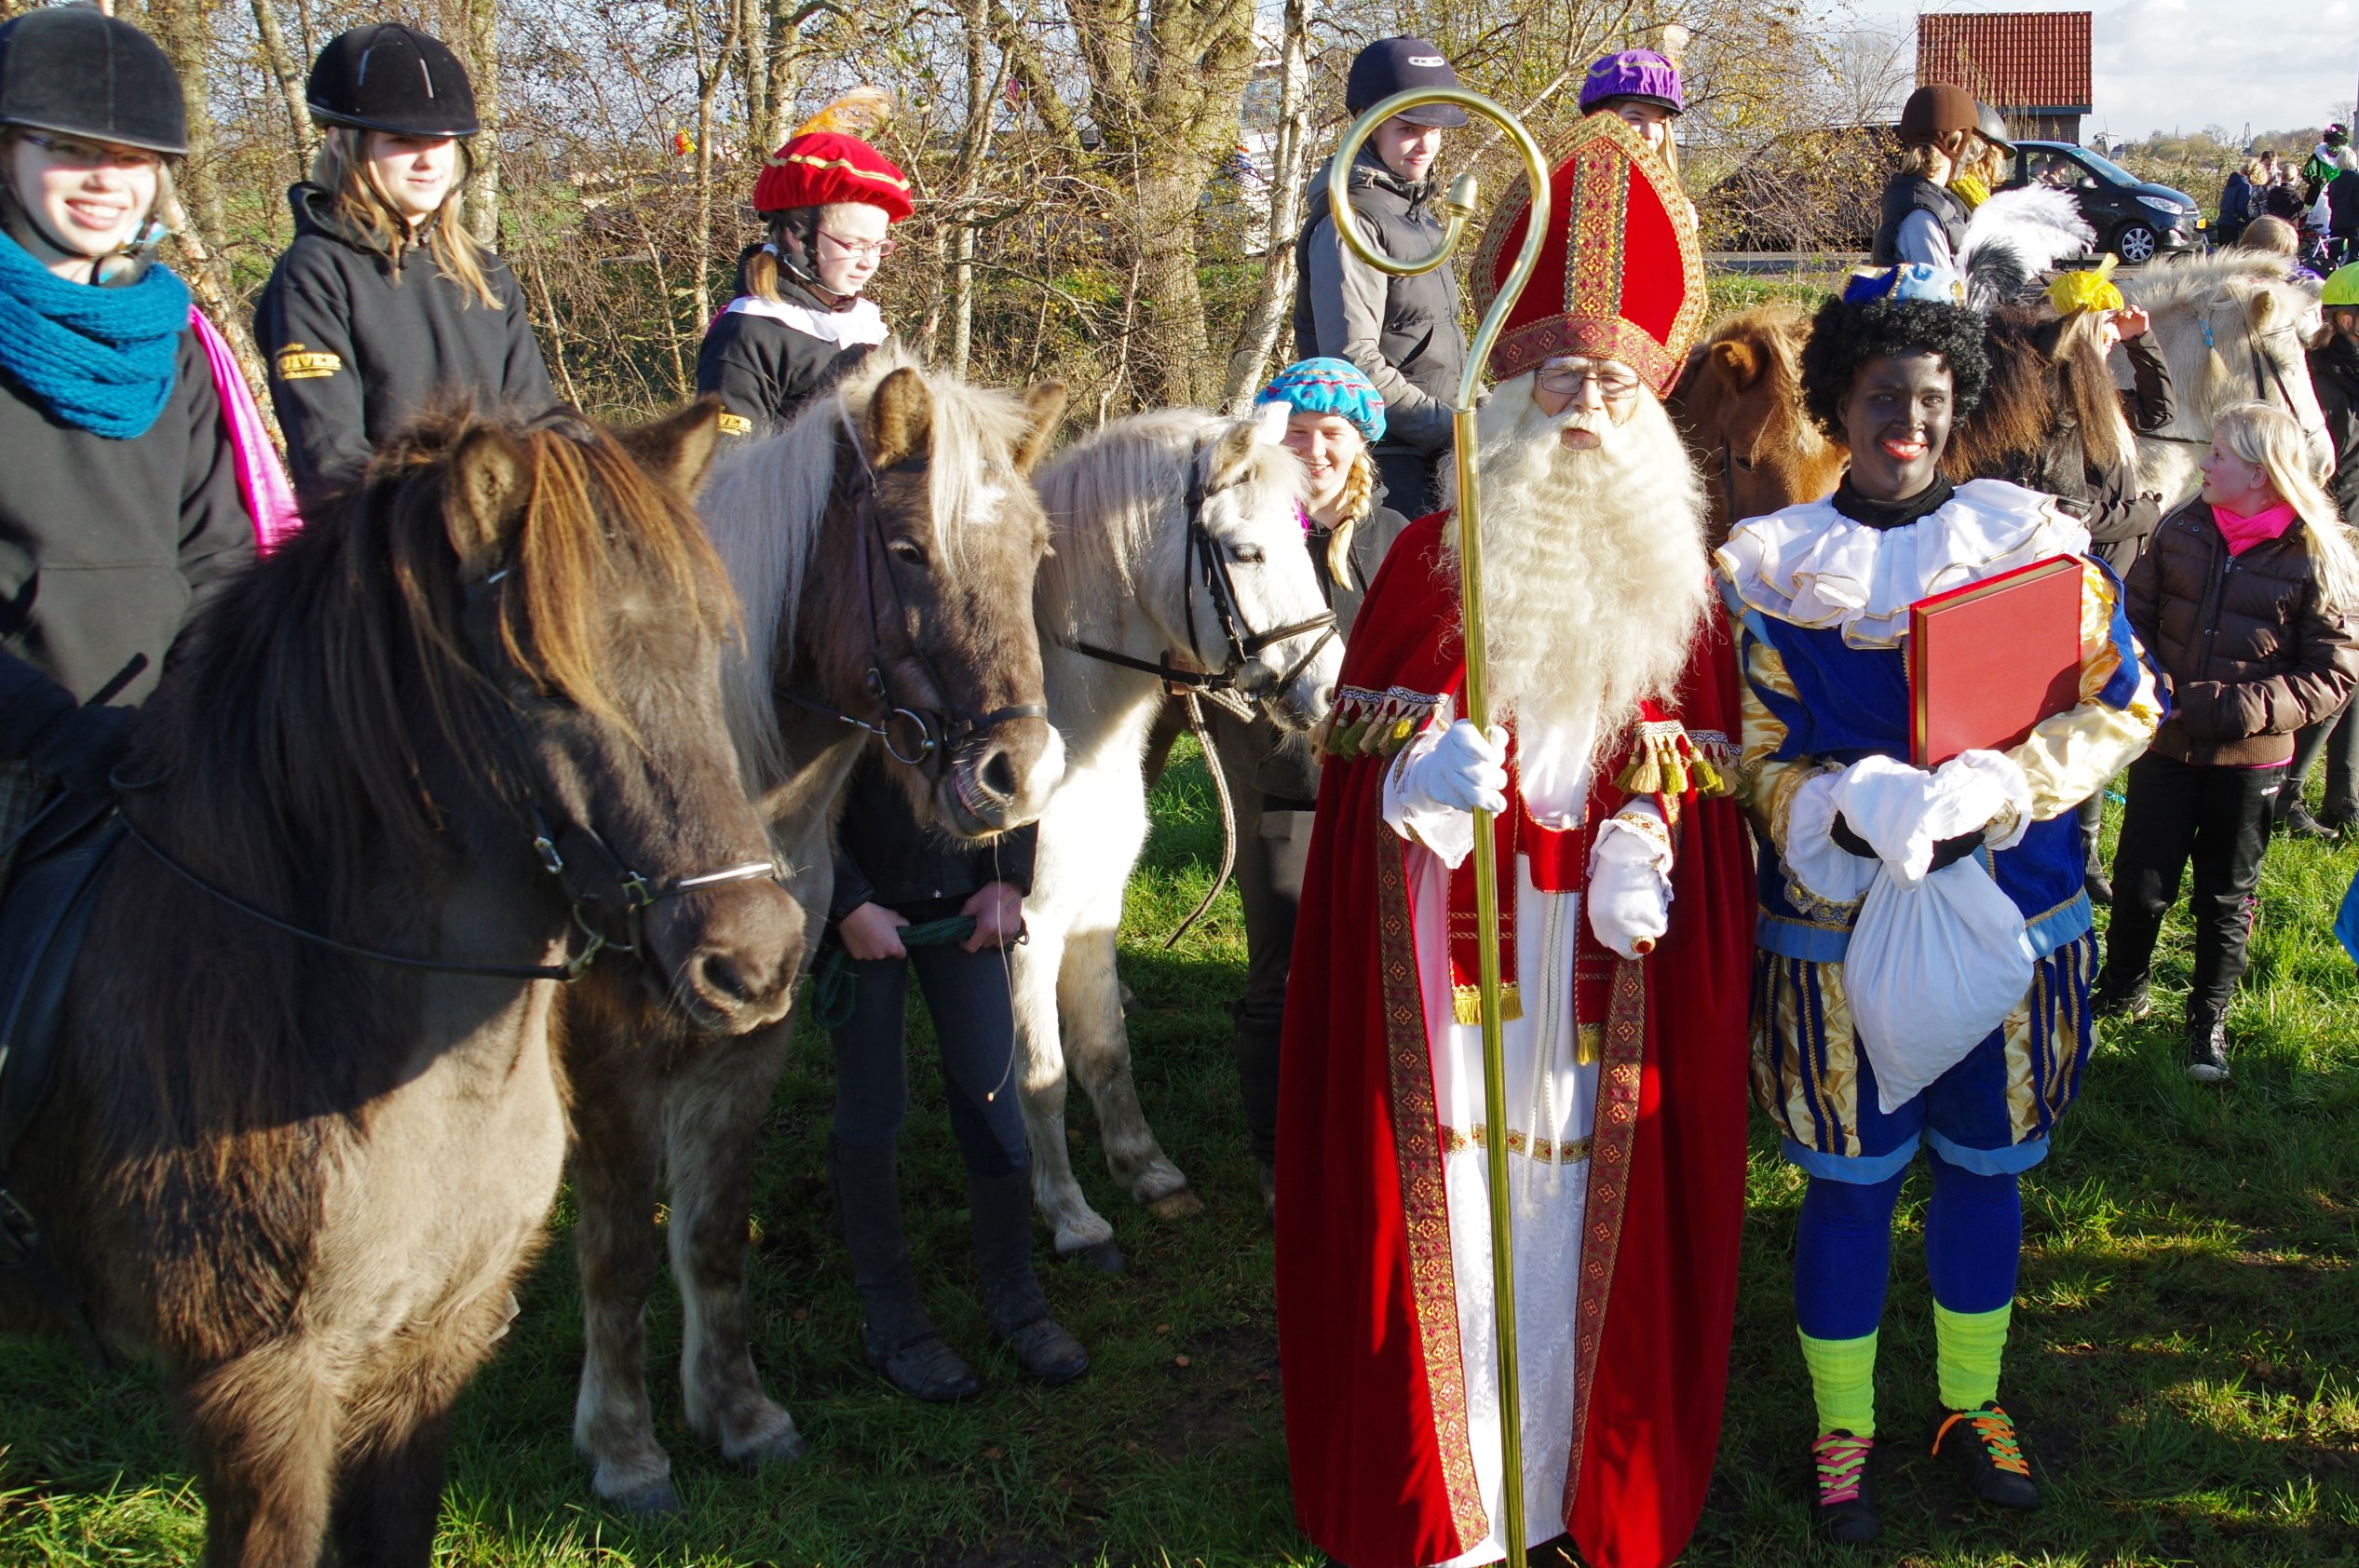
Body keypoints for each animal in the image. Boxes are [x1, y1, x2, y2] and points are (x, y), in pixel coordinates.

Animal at [565, 351, 1065, 1508]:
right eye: (907, 549)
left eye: (1035, 551)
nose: (1018, 777)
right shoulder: (610, 1061)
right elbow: (616, 1248)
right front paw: (624, 1448)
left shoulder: (754, 1036)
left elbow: (710, 1233)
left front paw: (740, 1417)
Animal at [1019, 403, 1349, 1264]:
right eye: (1244, 551)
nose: (1331, 693)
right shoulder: (1023, 930)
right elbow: (1039, 1076)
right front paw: (1069, 1216)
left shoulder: (1093, 906)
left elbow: (1103, 1047)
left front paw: (1147, 1172)